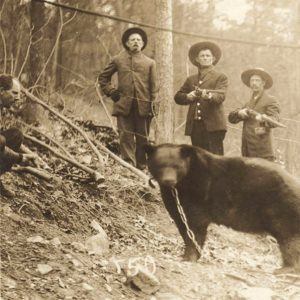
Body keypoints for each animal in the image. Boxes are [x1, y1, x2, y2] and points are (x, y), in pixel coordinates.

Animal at [145, 143, 300, 272]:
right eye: (160, 165)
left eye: (177, 166)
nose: (169, 180)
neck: (182, 183)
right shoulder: (175, 197)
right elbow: (181, 221)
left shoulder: (199, 191)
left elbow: (195, 225)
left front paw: (189, 256)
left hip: (283, 207)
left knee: (289, 239)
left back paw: (286, 269)